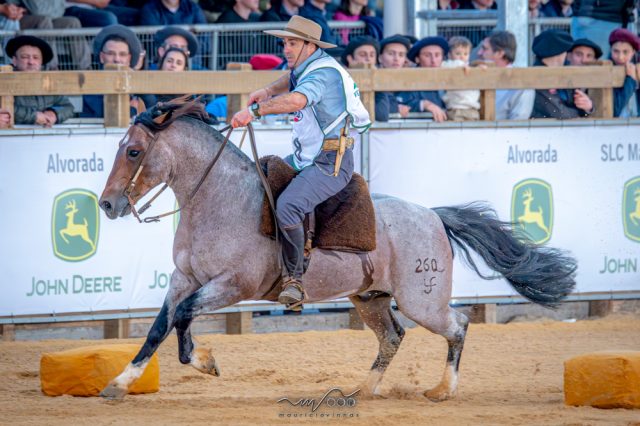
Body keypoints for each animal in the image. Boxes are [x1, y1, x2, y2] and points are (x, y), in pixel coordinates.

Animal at [97, 101, 576, 402]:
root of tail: (434, 216)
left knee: (457, 325)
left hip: (422, 301)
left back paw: (443, 390)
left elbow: (182, 318)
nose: (107, 204)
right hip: (370, 299)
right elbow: (159, 328)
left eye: (134, 150)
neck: (220, 199)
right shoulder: (184, 280)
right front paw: (119, 383)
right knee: (392, 337)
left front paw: (204, 361)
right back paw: (362, 391)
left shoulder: (231, 286)